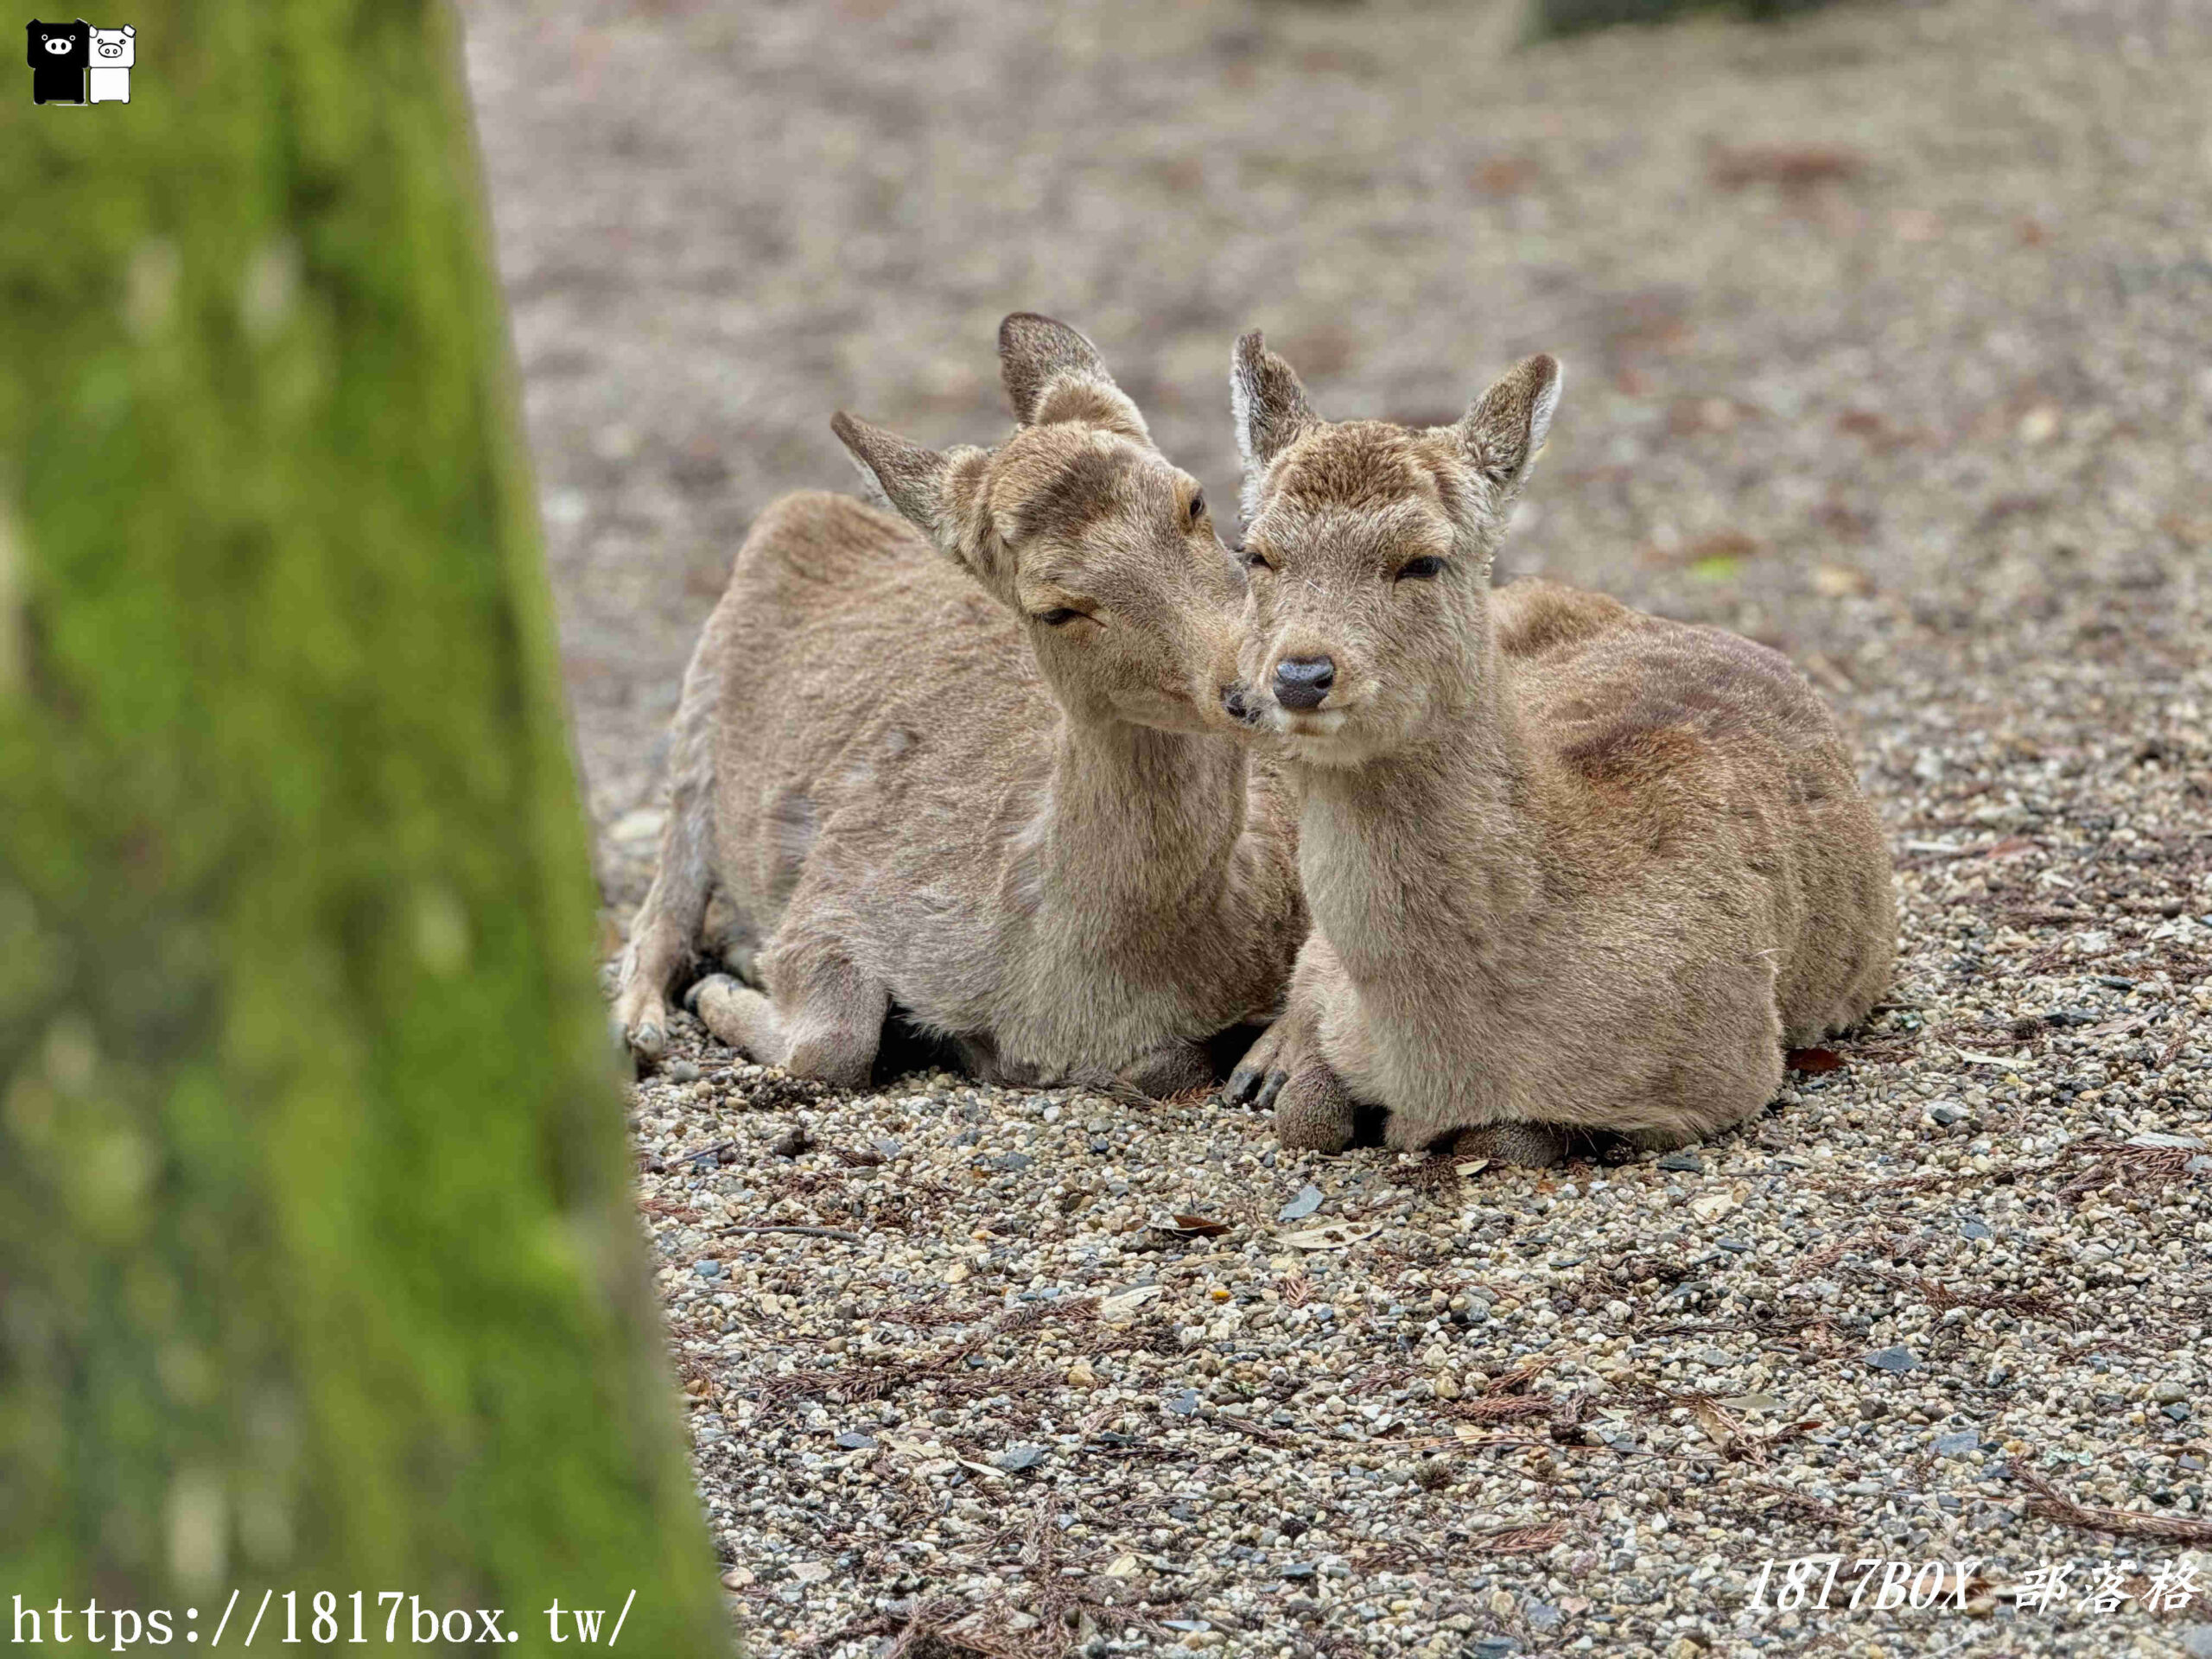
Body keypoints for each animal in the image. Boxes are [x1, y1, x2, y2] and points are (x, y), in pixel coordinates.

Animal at [606, 318, 1292, 1106]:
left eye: (1194, 501)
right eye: (1055, 608)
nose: (1251, 687)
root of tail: (805, 507)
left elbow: (1173, 1063)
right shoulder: (846, 882)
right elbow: (830, 1041)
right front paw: (726, 985)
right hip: (694, 723)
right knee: (663, 899)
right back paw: (644, 1020)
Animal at [1221, 332, 1893, 1159]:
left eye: (1423, 560)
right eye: (1255, 553)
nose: (1302, 675)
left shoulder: (1724, 1070)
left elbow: (1505, 1139)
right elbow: (1308, 1115)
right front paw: (1284, 1071)